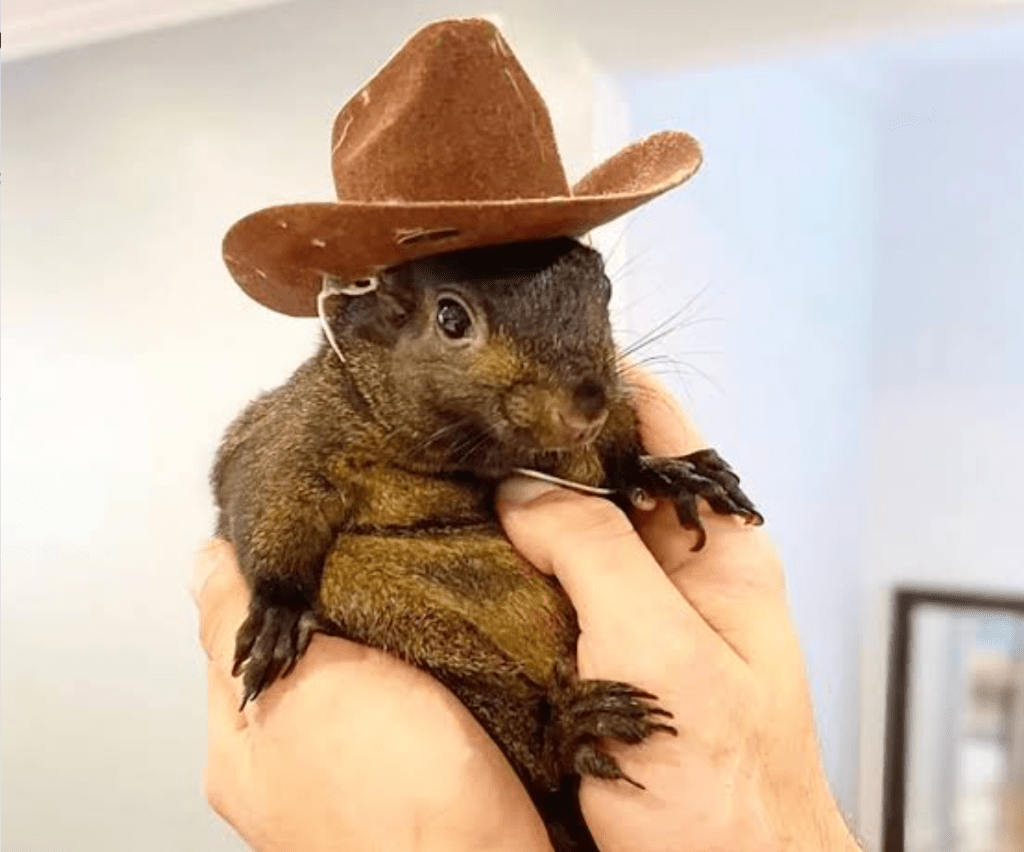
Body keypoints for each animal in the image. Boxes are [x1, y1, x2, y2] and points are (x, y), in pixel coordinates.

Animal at [211, 235, 763, 851]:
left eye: (603, 286)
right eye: (451, 318)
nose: (587, 404)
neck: (473, 456)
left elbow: (619, 460)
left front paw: (669, 472)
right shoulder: (294, 432)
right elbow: (267, 496)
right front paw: (278, 612)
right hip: (420, 634)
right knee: (537, 759)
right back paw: (567, 733)